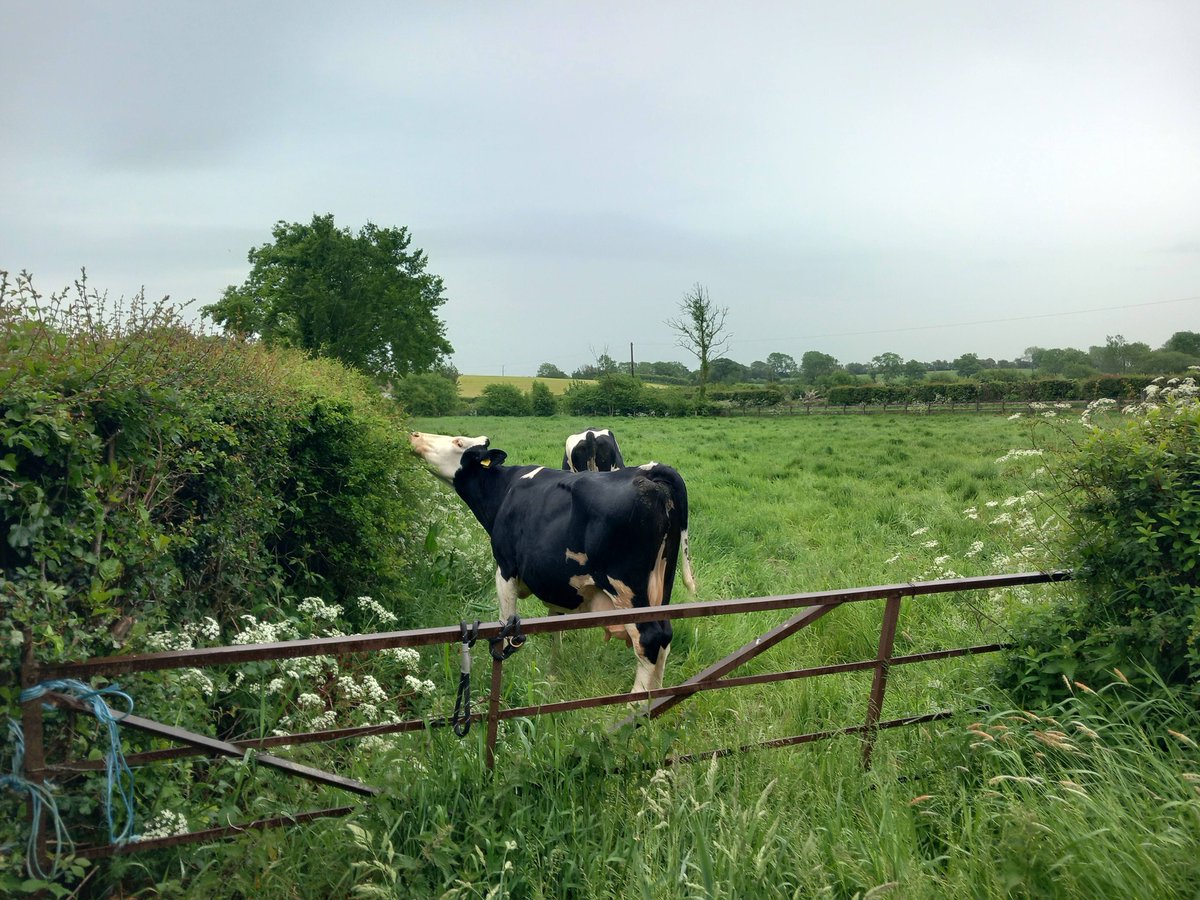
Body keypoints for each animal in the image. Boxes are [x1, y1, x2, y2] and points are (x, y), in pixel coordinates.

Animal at [409, 431, 692, 697]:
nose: (415, 435)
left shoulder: (505, 568)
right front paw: (553, 674)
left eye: (458, 442)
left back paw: (635, 707)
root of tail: (647, 471)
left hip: (626, 590)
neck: (505, 489)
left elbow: (505, 625)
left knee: (649, 639)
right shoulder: (557, 583)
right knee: (665, 635)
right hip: (662, 587)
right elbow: (555, 627)